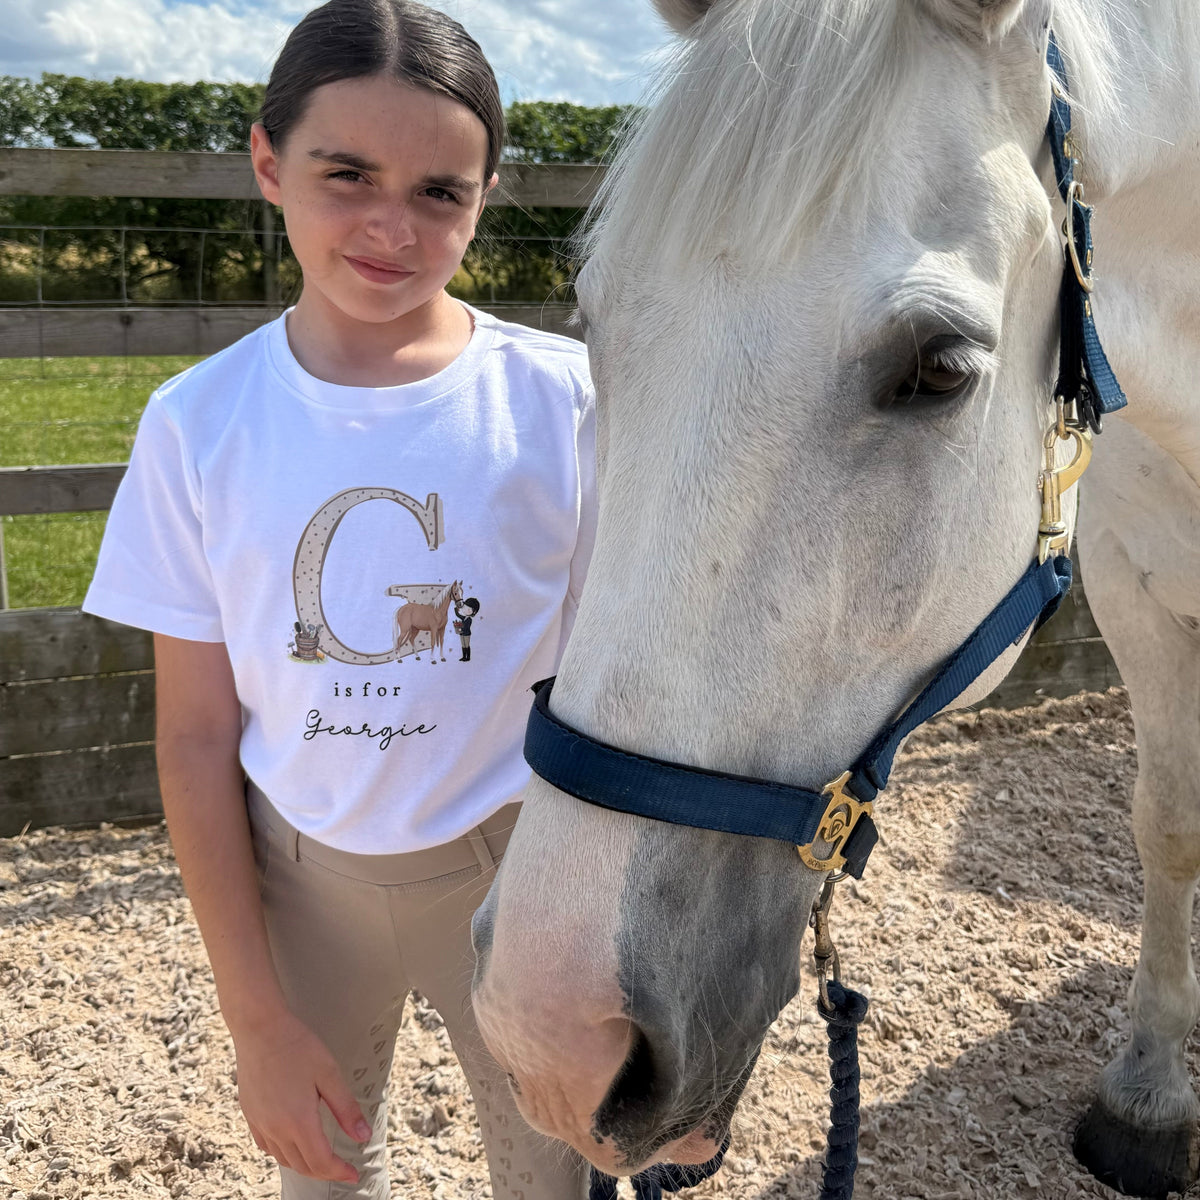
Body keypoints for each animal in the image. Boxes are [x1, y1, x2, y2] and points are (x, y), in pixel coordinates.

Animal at [470, 1, 1200, 1195]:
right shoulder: (1135, 582)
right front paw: (1148, 1094)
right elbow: (1169, 822)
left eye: (939, 370)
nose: (555, 1040)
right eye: (596, 324)